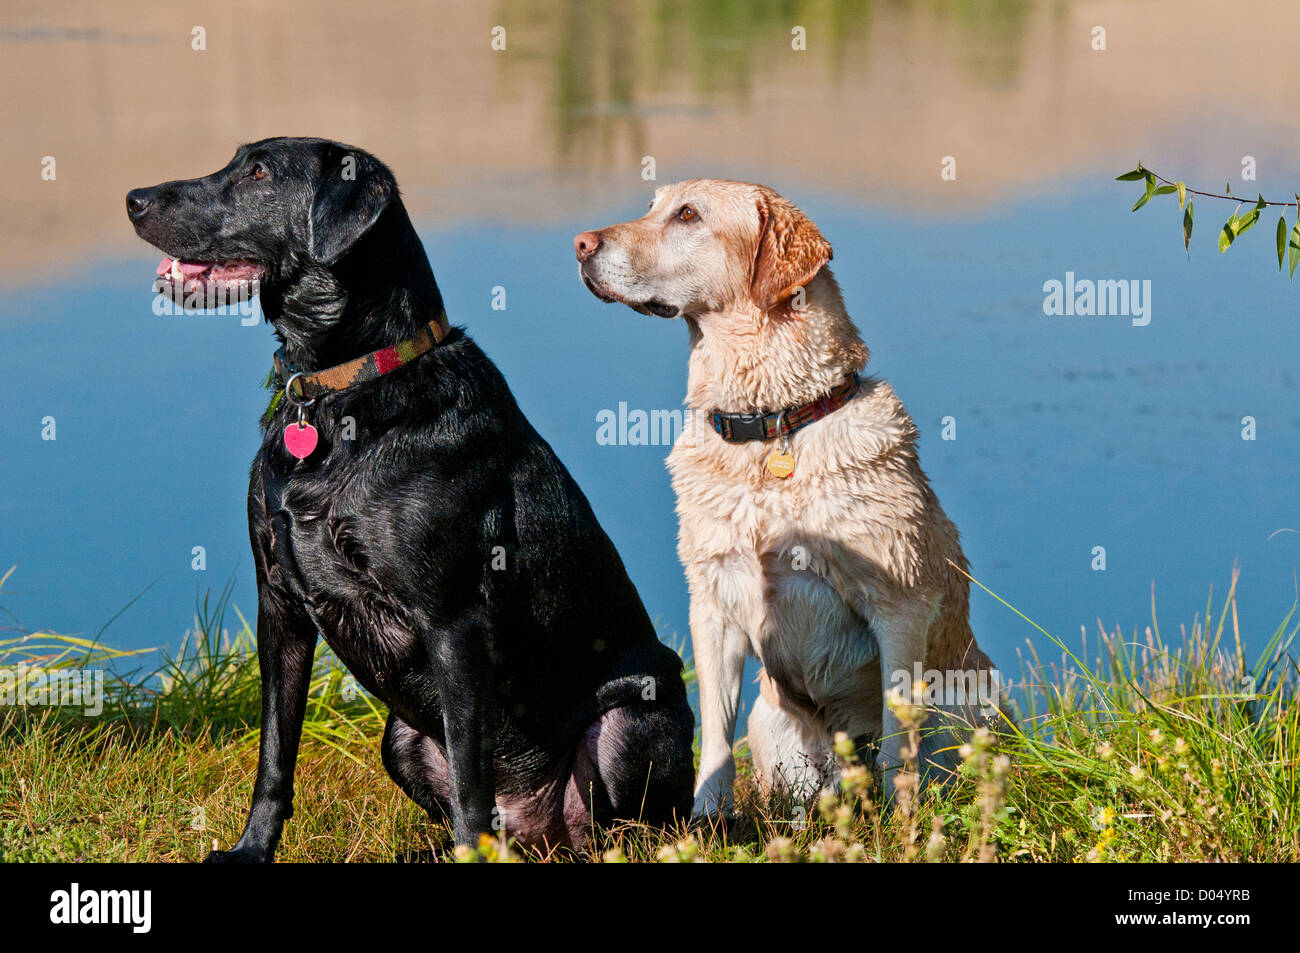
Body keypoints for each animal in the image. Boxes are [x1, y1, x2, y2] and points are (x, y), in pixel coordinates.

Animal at [126, 137, 696, 858]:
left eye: (258, 173)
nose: (133, 198)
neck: (340, 390)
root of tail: (539, 828)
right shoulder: (278, 607)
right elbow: (275, 755)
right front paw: (251, 849)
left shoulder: (455, 625)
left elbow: (471, 782)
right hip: (398, 737)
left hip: (634, 714)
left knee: (621, 826)